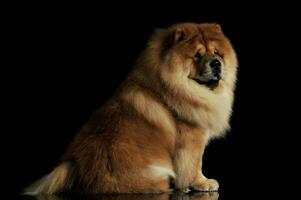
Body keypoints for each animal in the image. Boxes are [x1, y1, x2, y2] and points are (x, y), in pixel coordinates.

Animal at [24, 22, 237, 195]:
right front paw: (202, 183)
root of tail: (76, 166)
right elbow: (194, 164)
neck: (172, 87)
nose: (216, 63)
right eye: (197, 56)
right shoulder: (192, 136)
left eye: (217, 53)